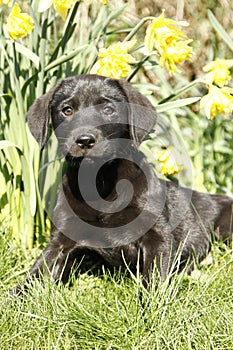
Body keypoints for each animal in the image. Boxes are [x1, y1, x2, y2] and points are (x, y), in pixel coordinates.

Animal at [13, 74, 233, 292]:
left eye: (108, 110)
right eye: (67, 110)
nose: (84, 140)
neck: (101, 182)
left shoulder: (158, 236)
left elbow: (153, 279)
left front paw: (151, 302)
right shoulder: (61, 239)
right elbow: (34, 275)